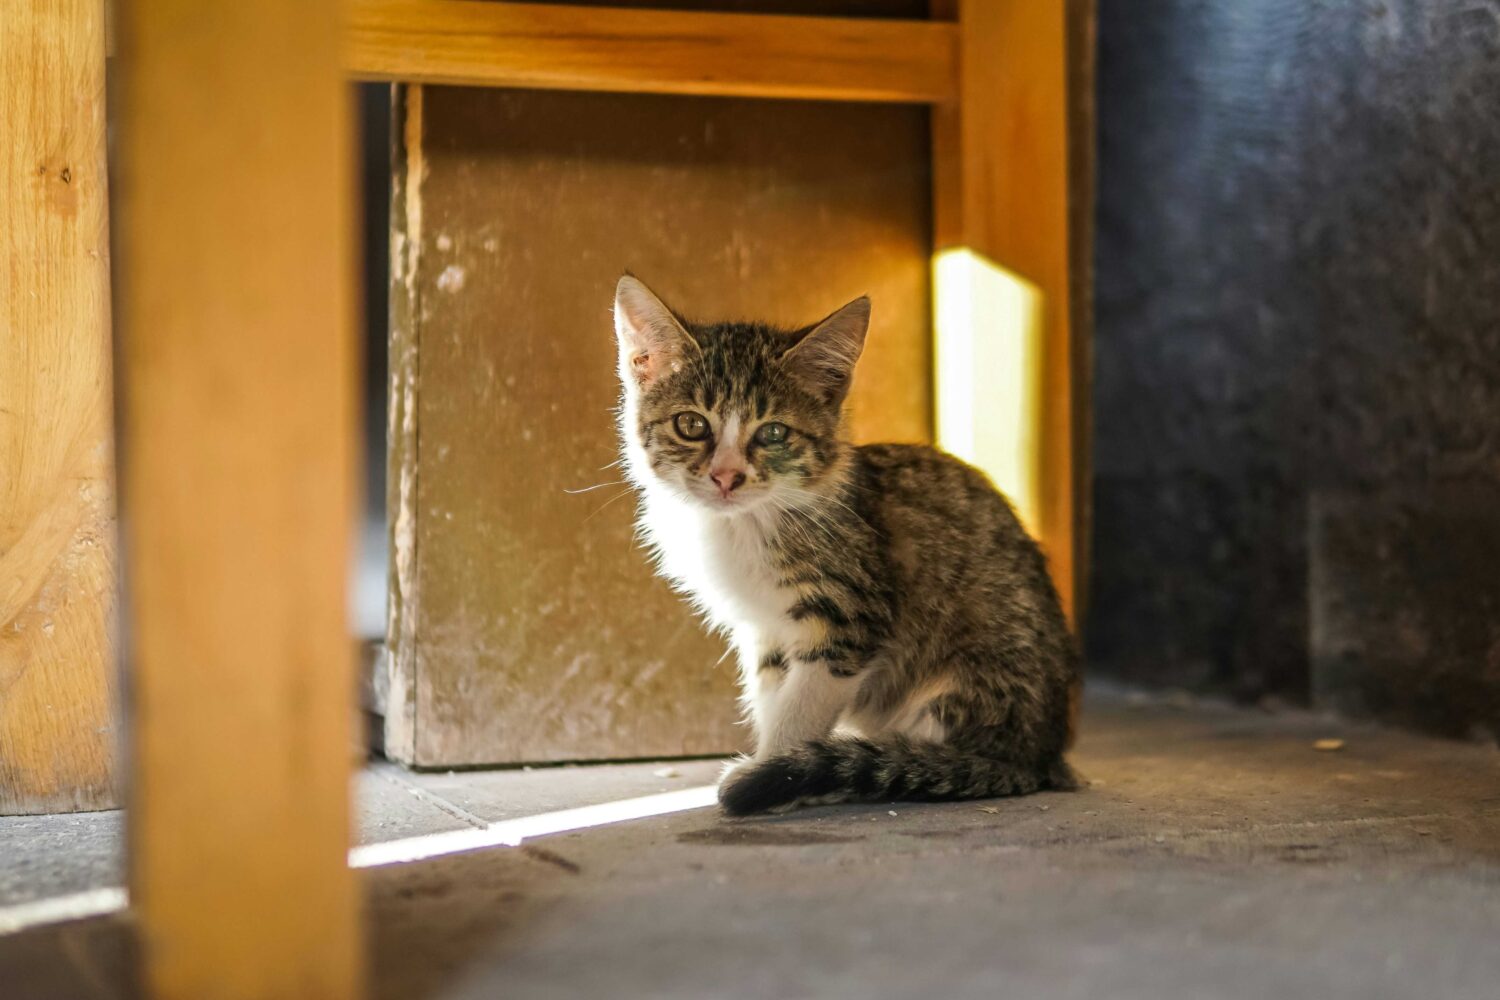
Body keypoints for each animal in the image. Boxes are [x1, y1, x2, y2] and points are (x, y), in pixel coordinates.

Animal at [609, 271, 1080, 815]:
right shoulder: (765, 630)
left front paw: (776, 771)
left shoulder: (851, 611)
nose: (726, 476)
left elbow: (801, 706)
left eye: (773, 432)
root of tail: (1038, 756)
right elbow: (773, 694)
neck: (741, 525)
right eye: (691, 424)